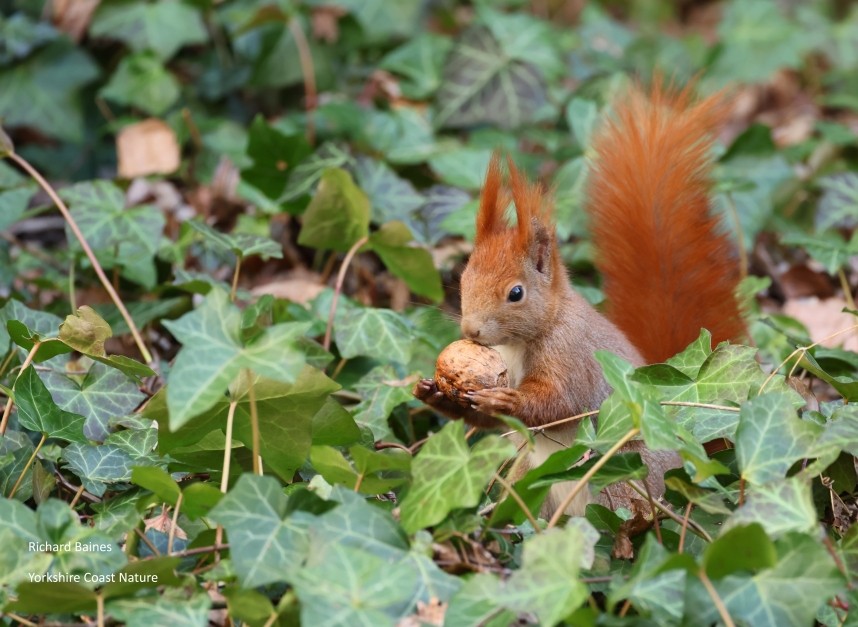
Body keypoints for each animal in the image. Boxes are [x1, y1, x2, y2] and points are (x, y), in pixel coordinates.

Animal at [414, 80, 745, 515]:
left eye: (516, 293)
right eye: (462, 278)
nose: (471, 330)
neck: (524, 341)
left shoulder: (572, 358)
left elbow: (558, 404)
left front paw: (505, 400)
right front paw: (434, 393)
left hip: (618, 483)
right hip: (528, 479)